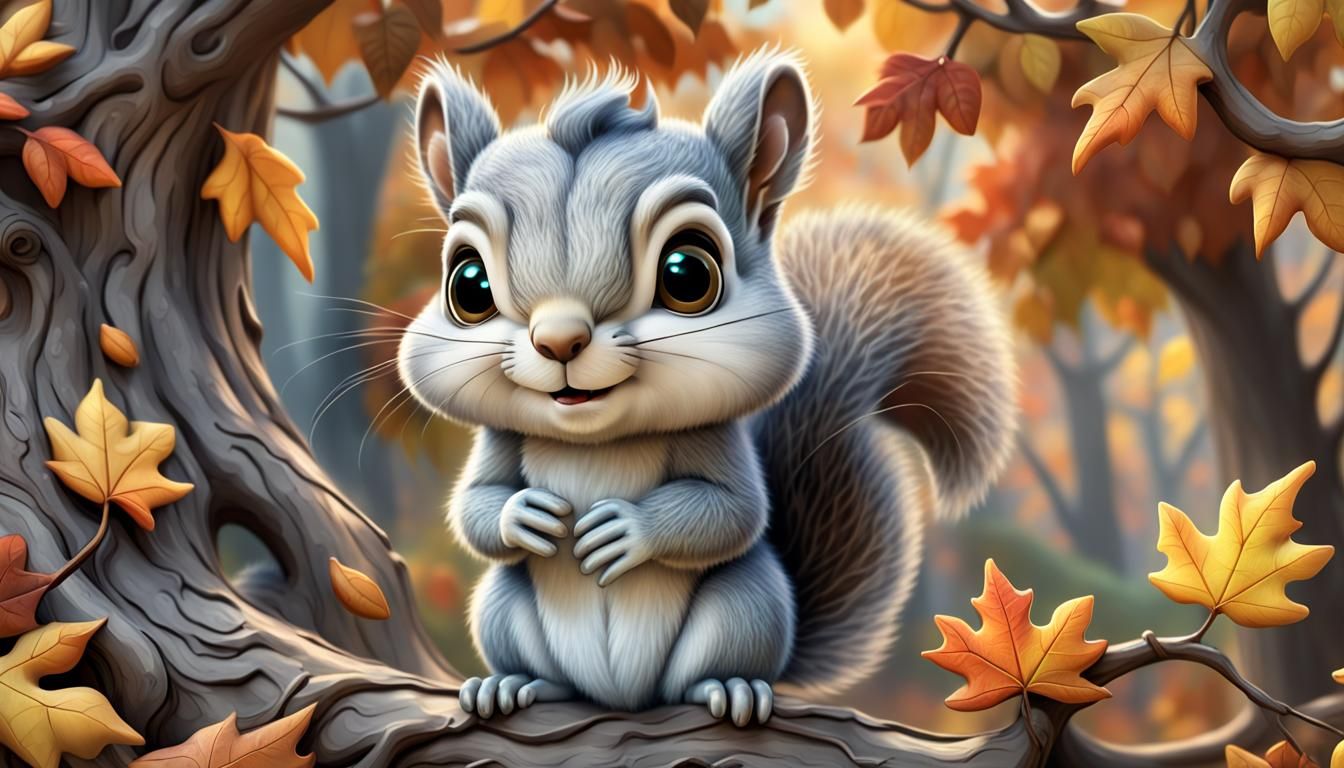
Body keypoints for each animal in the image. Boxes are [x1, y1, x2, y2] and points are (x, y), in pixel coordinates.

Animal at [398, 47, 1017, 727]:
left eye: (687, 274)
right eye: (469, 285)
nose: (559, 342)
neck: (595, 441)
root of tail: (624, 698)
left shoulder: (715, 442)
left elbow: (730, 513)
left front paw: (625, 529)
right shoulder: (500, 442)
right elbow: (474, 505)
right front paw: (525, 515)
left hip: (744, 608)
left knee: (706, 668)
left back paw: (730, 688)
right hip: (501, 608)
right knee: (538, 658)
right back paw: (514, 684)